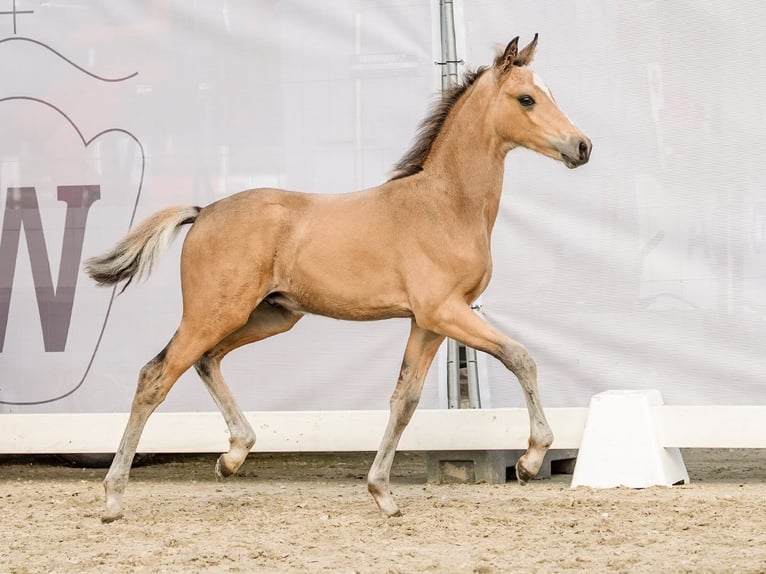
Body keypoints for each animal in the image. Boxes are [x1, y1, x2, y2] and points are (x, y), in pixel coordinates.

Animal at [88, 33, 592, 524]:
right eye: (526, 98)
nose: (582, 146)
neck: (445, 204)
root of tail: (203, 211)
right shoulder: (444, 311)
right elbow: (520, 357)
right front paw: (530, 460)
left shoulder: (427, 323)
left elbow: (405, 400)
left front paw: (382, 494)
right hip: (213, 313)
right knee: (155, 376)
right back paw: (113, 499)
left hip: (269, 317)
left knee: (206, 361)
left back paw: (232, 457)